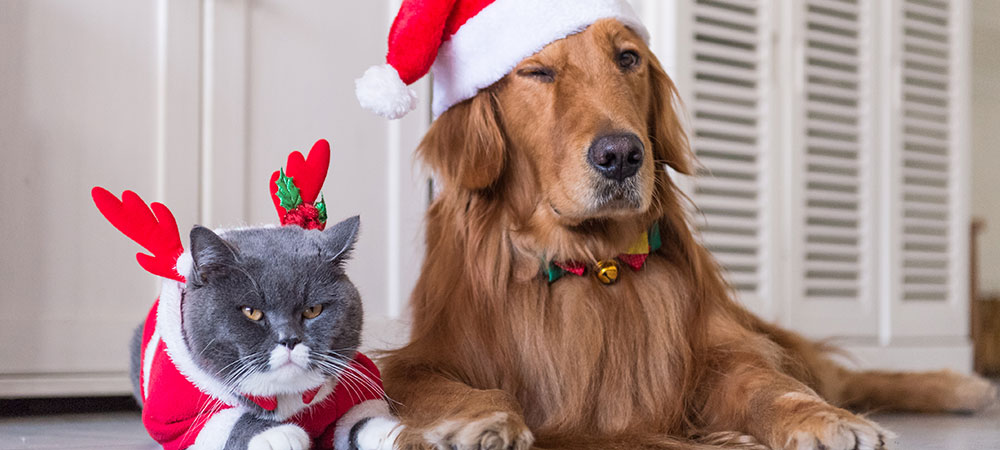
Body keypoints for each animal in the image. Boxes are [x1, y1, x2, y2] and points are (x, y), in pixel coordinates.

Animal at [127, 216, 400, 448]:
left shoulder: (355, 385)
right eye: (251, 312)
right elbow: (218, 422)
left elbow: (357, 417)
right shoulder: (175, 416)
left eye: (313, 310)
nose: (289, 339)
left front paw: (392, 433)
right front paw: (278, 435)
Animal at [378, 18, 996, 450]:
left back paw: (961, 386)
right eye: (537, 73)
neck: (591, 260)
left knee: (837, 374)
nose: (621, 155)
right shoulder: (423, 355)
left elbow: (771, 386)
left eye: (628, 58)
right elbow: (435, 385)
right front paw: (478, 418)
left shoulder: (718, 351)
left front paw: (822, 419)